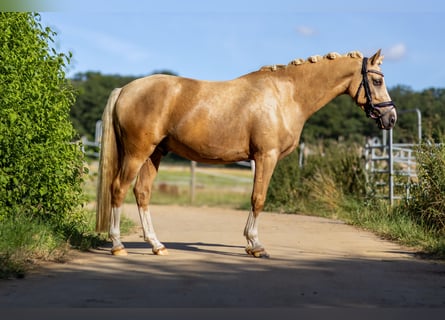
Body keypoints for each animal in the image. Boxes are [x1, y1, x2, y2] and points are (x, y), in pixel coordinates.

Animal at [95, 48, 398, 258]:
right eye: (377, 80)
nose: (391, 117)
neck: (286, 95)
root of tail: (125, 89)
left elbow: (256, 198)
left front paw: (251, 244)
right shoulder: (266, 156)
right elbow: (258, 199)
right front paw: (255, 245)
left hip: (155, 153)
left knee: (142, 192)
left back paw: (157, 245)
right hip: (137, 153)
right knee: (119, 188)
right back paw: (118, 245)